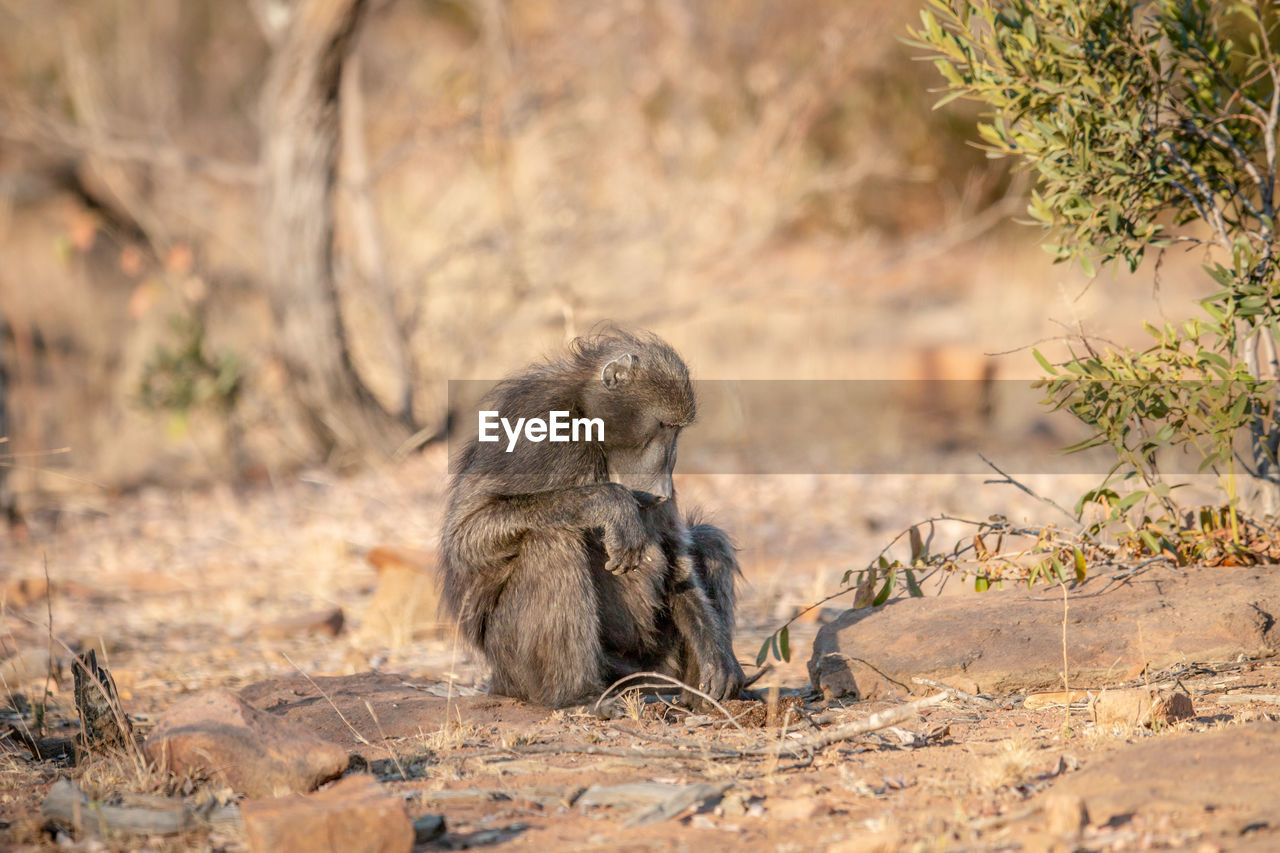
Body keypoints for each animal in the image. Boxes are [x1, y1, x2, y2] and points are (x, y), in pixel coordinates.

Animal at [440, 327, 747, 706]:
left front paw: (717, 655)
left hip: (652, 668)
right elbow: (467, 537)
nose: (663, 487)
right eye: (662, 425)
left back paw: (699, 700)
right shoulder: (537, 426)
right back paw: (580, 695)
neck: (586, 418)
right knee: (551, 538)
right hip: (517, 667)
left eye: (677, 430)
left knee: (710, 540)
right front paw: (613, 504)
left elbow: (674, 544)